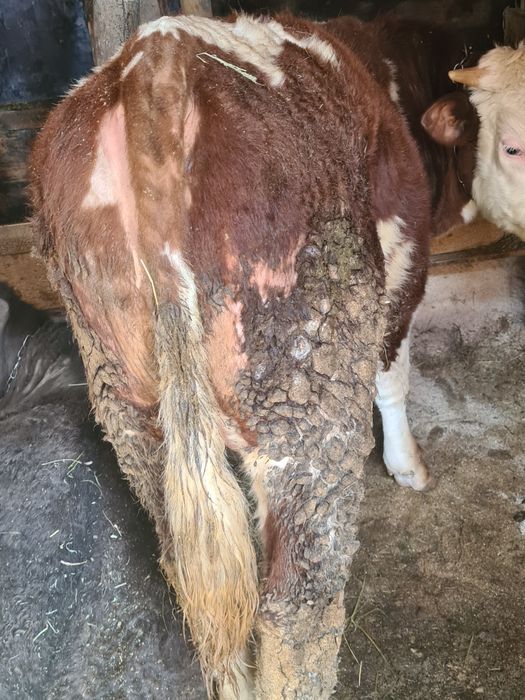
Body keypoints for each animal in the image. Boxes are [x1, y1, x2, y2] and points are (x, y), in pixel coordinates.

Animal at [29, 12, 479, 698]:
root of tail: (152, 61)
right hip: (307, 390)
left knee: (198, 583)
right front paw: (409, 467)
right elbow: (392, 375)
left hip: (129, 403)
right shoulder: (404, 261)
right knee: (298, 605)